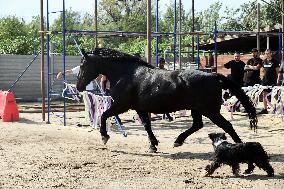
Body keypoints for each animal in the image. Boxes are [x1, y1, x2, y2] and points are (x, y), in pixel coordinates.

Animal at [76, 48, 258, 152]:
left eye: (83, 65)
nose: (78, 86)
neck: (126, 74)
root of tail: (213, 75)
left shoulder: (122, 105)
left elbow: (104, 115)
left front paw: (104, 136)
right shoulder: (140, 108)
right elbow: (146, 125)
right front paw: (153, 145)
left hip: (209, 110)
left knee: (226, 125)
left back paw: (240, 146)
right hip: (197, 109)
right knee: (197, 125)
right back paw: (178, 141)